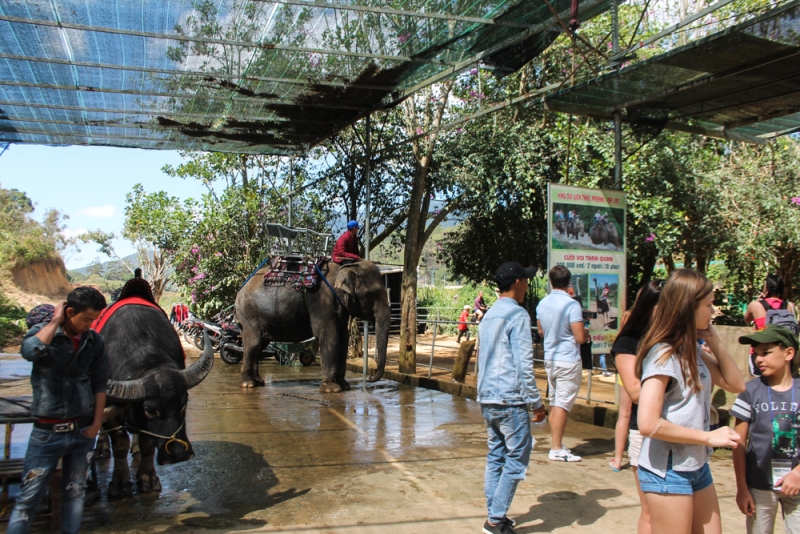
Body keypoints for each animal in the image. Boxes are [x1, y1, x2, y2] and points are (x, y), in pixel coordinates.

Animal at [99, 306, 212, 498]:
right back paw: (101, 448)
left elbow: (147, 445)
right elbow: (120, 445)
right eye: (150, 410)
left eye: (183, 405)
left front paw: (147, 479)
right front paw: (120, 484)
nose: (179, 453)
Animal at [234, 260, 390, 394]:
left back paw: (258, 382)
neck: (345, 268)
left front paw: (345, 386)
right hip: (250, 315)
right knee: (253, 344)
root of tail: (240, 291)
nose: (369, 378)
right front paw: (332, 389)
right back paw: (248, 384)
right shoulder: (322, 301)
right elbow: (329, 338)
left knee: (260, 345)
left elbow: (343, 340)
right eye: (373, 293)